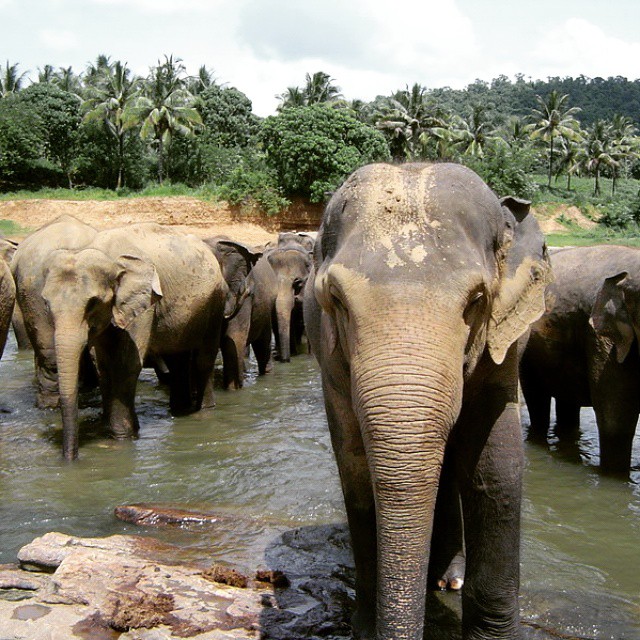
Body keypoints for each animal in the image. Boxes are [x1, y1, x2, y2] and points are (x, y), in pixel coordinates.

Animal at [18, 221, 230, 460]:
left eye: (93, 302)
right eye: (45, 302)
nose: (70, 458)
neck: (106, 255)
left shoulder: (144, 305)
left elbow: (126, 364)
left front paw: (122, 437)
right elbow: (103, 365)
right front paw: (112, 430)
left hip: (215, 302)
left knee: (204, 358)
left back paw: (203, 412)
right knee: (178, 360)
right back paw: (180, 410)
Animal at [304, 164, 552, 640]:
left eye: (477, 300)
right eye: (336, 300)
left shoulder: (502, 347)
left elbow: (496, 467)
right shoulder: (330, 360)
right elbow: (355, 468)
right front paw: (365, 627)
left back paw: (448, 580)